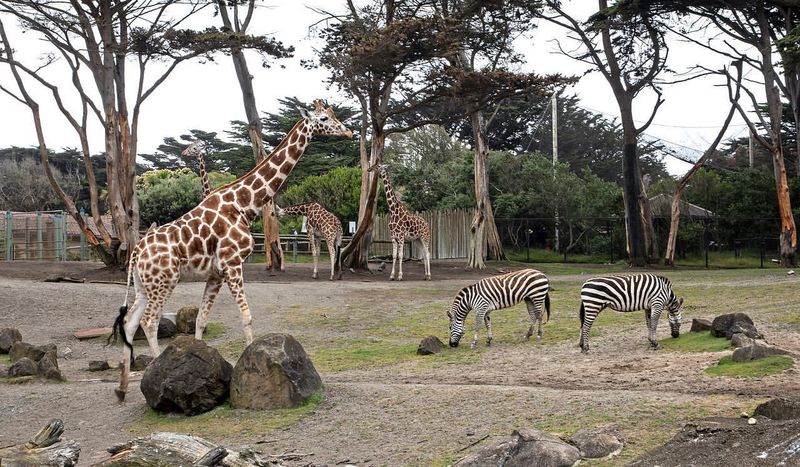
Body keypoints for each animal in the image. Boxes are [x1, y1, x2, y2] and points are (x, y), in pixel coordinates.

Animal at [113, 100, 354, 400]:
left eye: (334, 115)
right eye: (324, 119)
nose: (348, 132)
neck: (244, 204)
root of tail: (136, 252)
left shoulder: (216, 274)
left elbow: (201, 320)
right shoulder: (233, 264)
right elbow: (247, 316)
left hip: (143, 285)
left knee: (130, 322)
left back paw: (123, 386)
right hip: (163, 282)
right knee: (149, 321)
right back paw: (154, 373)